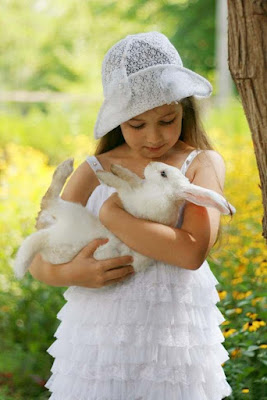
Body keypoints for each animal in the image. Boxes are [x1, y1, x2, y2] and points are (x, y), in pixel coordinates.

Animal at [14, 156, 237, 278]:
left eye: (163, 173)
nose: (150, 163)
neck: (162, 192)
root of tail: (49, 237)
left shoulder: (132, 199)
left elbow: (122, 186)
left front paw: (105, 175)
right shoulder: (137, 188)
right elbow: (132, 178)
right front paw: (116, 168)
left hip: (69, 212)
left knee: (48, 200)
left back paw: (65, 167)